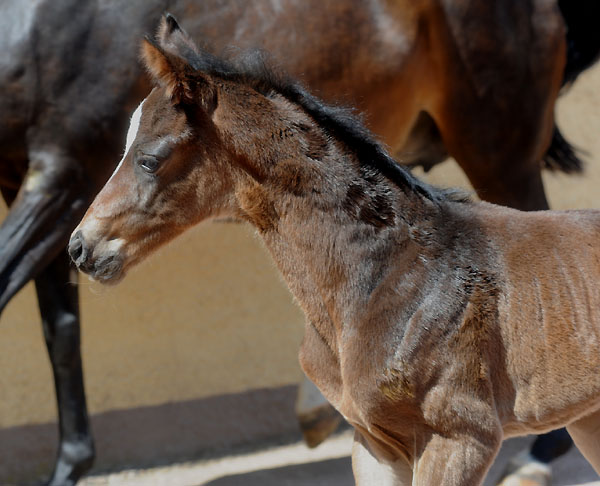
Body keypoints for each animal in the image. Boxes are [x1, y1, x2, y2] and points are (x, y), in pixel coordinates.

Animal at [2, 0, 596, 486]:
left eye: (150, 158)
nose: (82, 245)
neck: (396, 277)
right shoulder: (375, 447)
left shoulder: (461, 438)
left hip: (498, 146)